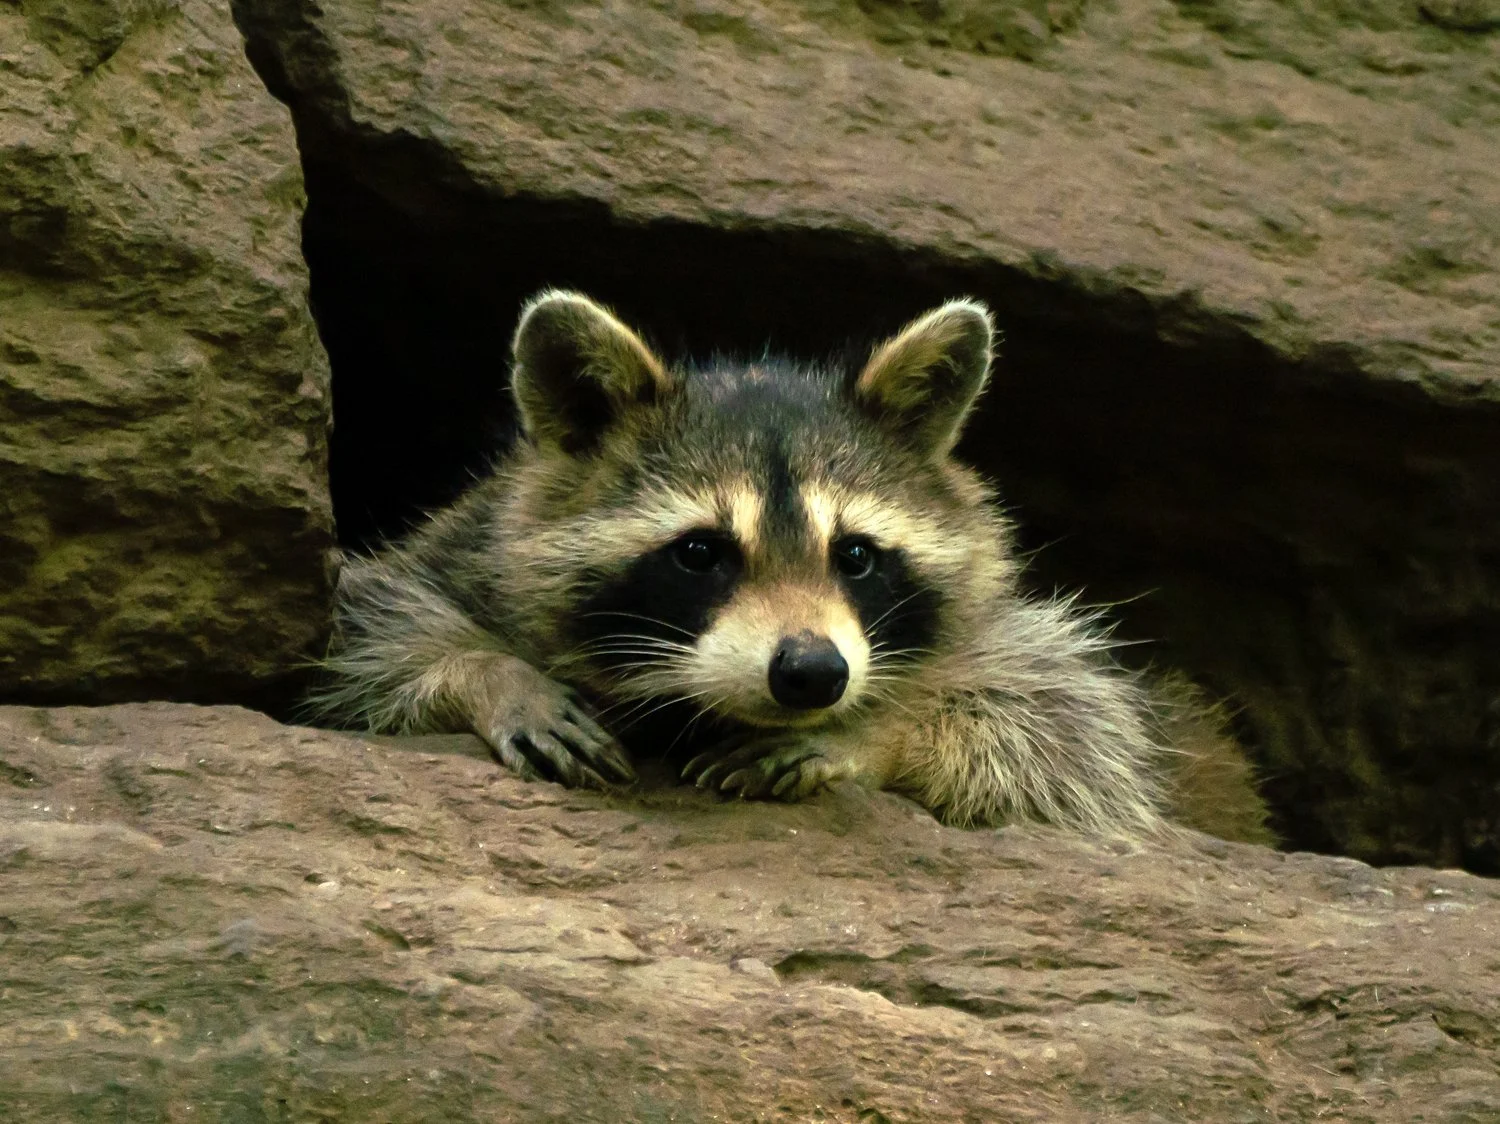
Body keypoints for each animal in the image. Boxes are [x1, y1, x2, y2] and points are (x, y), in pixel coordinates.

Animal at [314, 290, 1270, 842]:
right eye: (700, 552)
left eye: (856, 555)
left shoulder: (1027, 656)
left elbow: (1064, 732)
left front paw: (873, 733)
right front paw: (487, 673)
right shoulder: (465, 546)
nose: (812, 672)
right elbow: (365, 638)